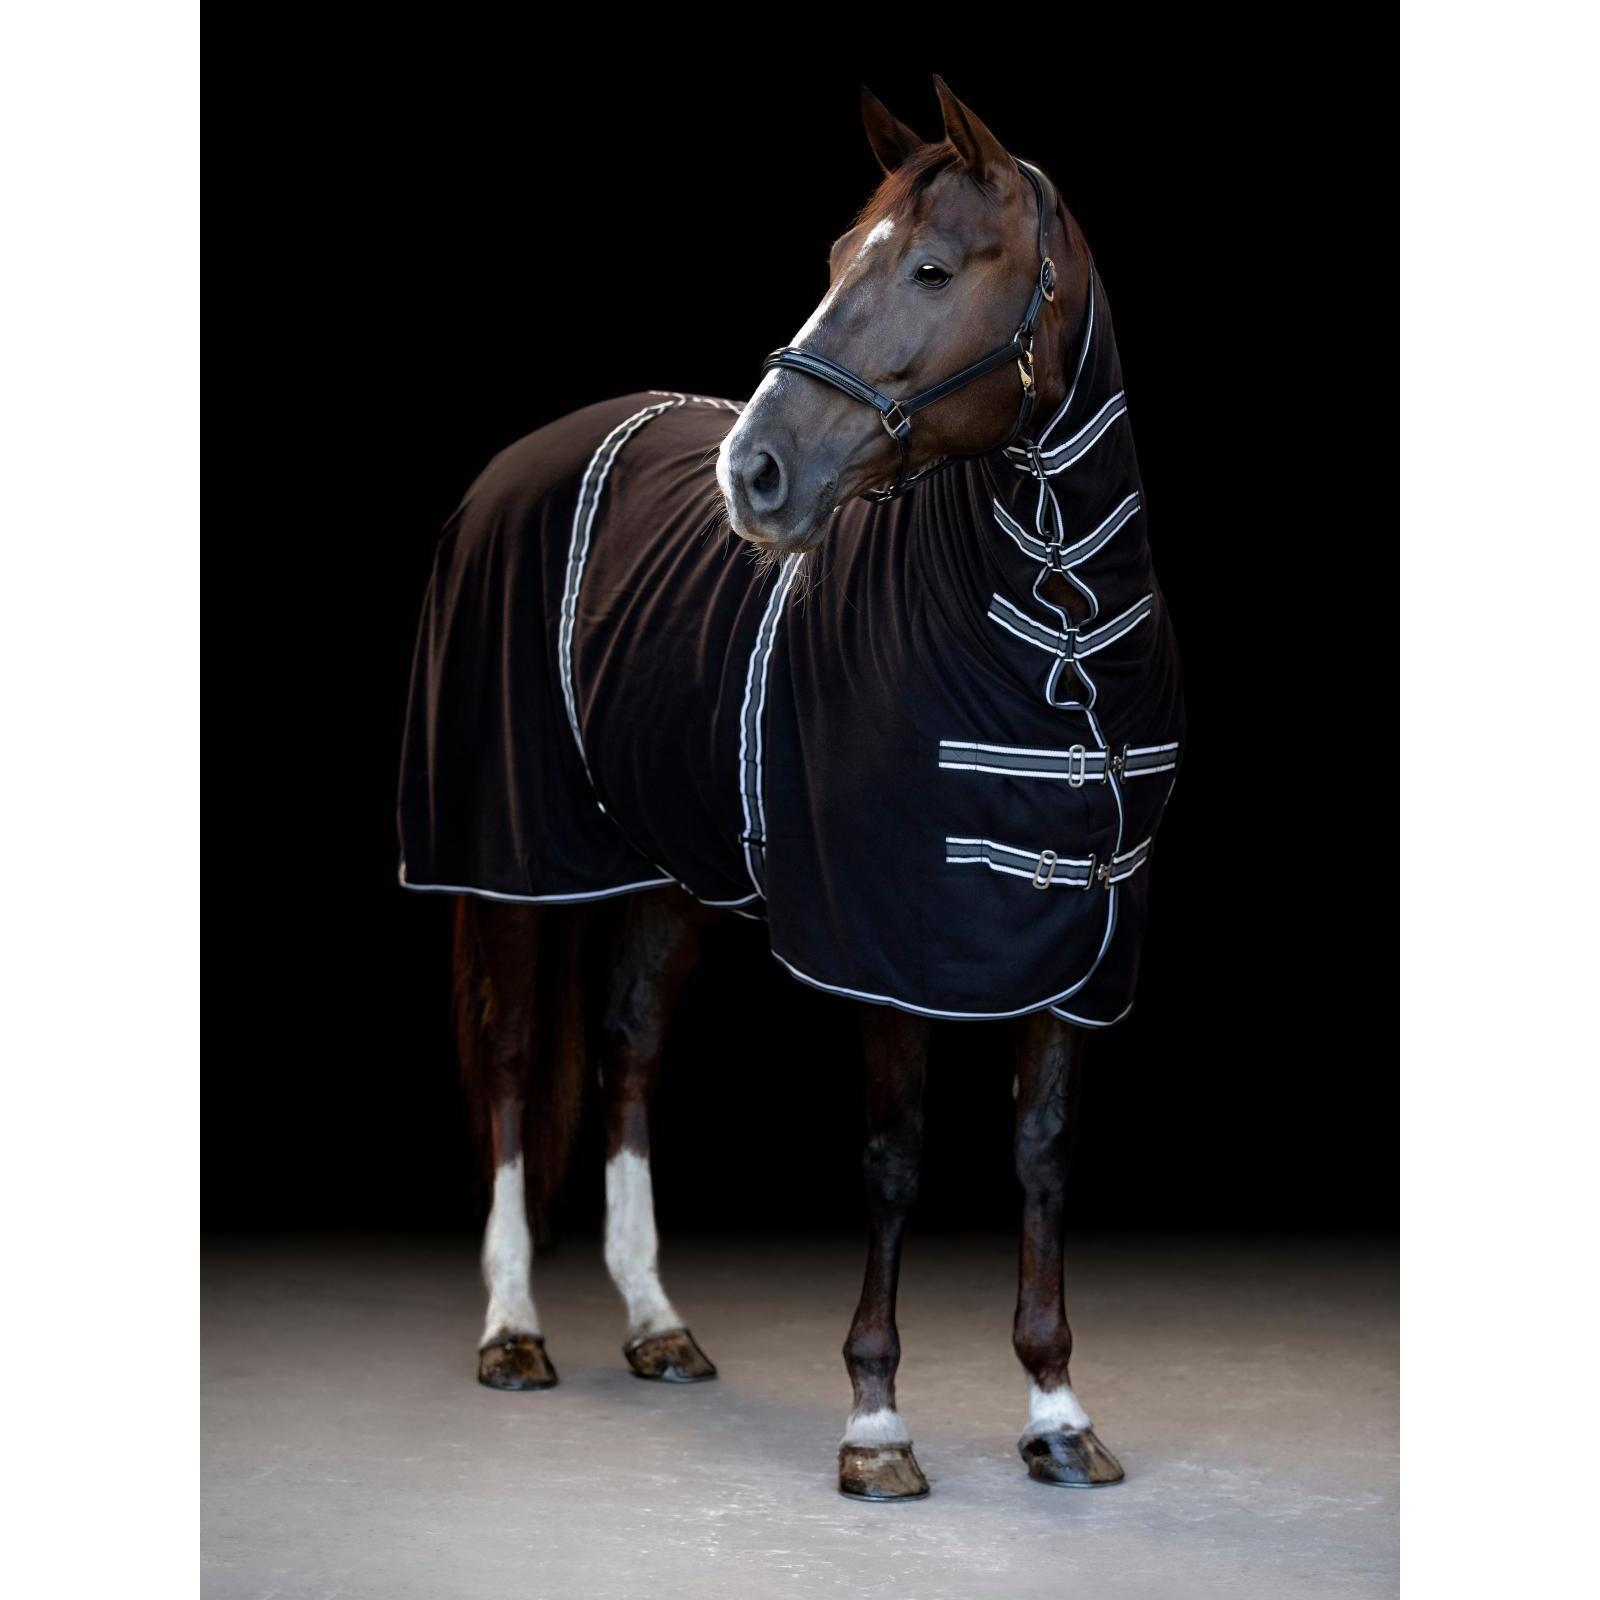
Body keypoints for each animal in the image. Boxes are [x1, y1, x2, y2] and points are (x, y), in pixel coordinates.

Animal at [398, 76, 1184, 1501]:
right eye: (832, 260)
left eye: (931, 268)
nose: (752, 475)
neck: (1060, 637)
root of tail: (525, 459)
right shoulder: (885, 944)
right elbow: (892, 1160)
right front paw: (875, 1423)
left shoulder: (1086, 942)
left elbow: (1041, 1155)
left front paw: (1055, 1408)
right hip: (508, 856)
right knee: (511, 1069)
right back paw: (513, 1331)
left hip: (664, 869)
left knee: (627, 1051)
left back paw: (657, 1324)